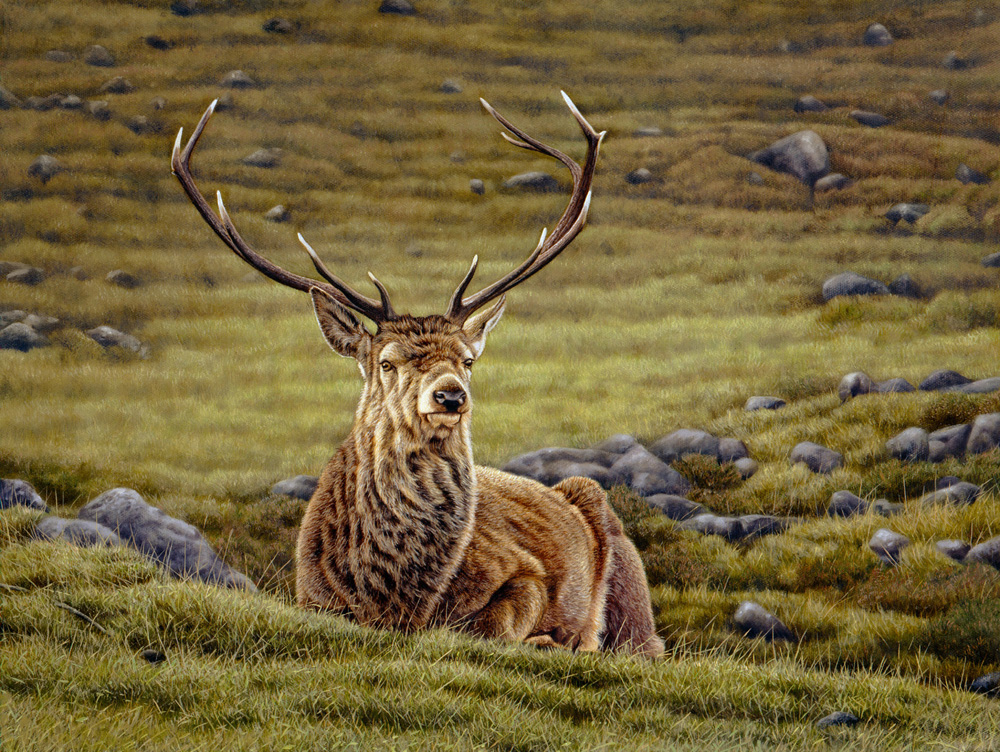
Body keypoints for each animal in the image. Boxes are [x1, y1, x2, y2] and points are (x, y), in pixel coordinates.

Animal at [171, 93, 664, 657]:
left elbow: (488, 623)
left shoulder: (525, 575)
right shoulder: (310, 595)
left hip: (623, 570)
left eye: (468, 360)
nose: (450, 396)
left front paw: (550, 639)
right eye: (387, 361)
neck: (397, 598)